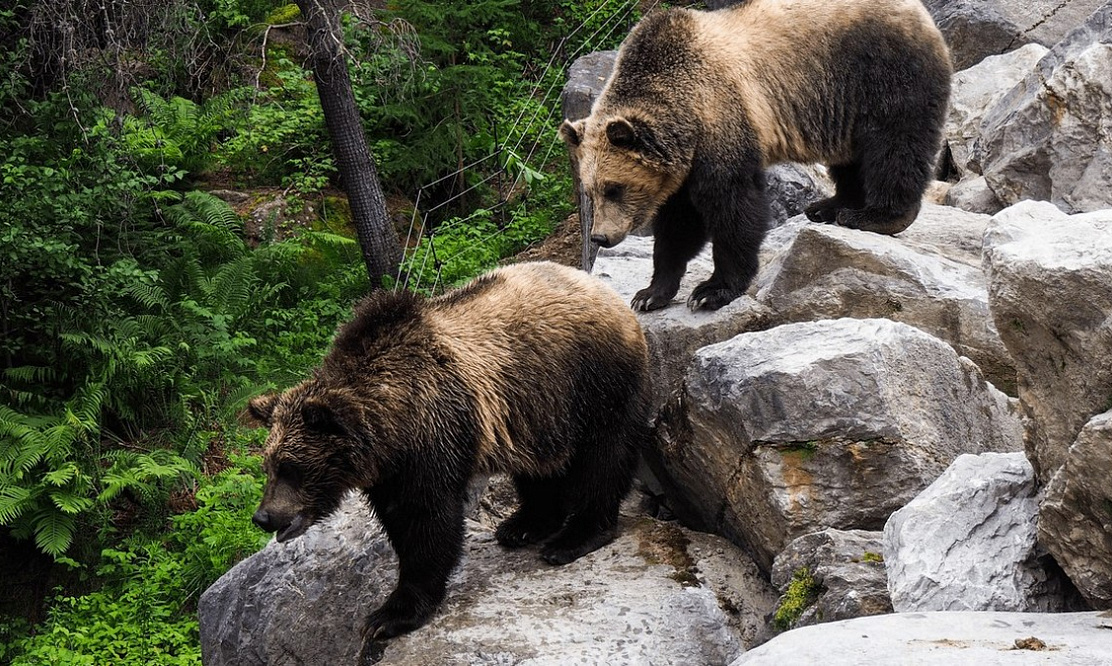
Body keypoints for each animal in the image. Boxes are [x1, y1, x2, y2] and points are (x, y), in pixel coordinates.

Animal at [243, 263, 649, 644]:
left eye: (291, 467)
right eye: (268, 466)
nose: (264, 517)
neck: (391, 426)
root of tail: (606, 293)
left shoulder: (433, 435)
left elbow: (428, 524)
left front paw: (389, 616)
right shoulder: (391, 471)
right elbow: (400, 522)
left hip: (591, 380)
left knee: (604, 457)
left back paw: (573, 538)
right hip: (536, 409)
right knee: (539, 467)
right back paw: (523, 524)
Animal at [560, 0, 951, 311]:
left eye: (615, 187)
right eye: (589, 190)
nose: (600, 237)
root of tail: (921, 13)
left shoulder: (722, 118)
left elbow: (733, 206)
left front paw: (711, 290)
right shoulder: (683, 164)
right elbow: (677, 225)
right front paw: (649, 294)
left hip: (881, 72)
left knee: (894, 145)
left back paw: (875, 216)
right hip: (843, 104)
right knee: (851, 158)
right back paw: (830, 206)